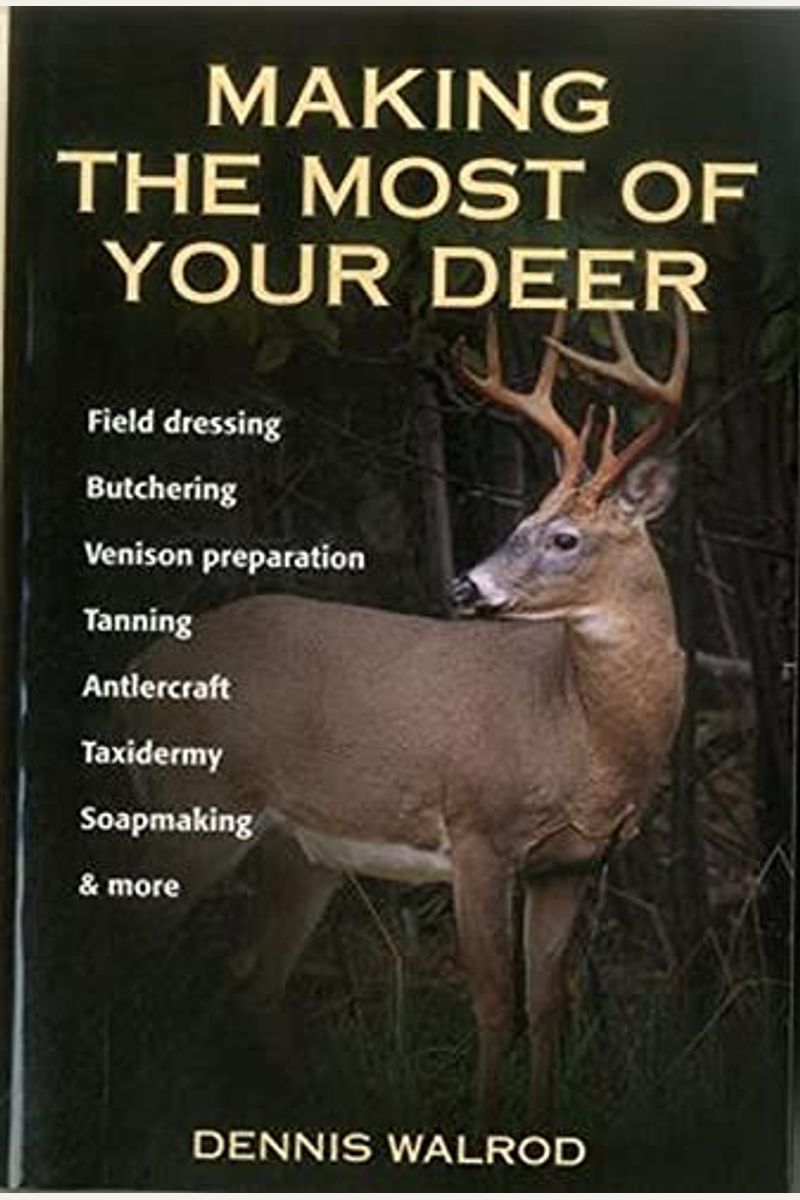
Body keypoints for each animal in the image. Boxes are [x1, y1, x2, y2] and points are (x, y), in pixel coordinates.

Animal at [122, 303, 688, 1121]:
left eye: (564, 536)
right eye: (519, 521)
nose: (465, 587)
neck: (582, 730)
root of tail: (132, 674)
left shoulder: (571, 862)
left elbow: (549, 1004)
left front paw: (541, 1131)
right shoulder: (479, 831)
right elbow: (494, 1003)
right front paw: (483, 1131)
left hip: (300, 851)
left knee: (252, 974)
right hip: (195, 804)